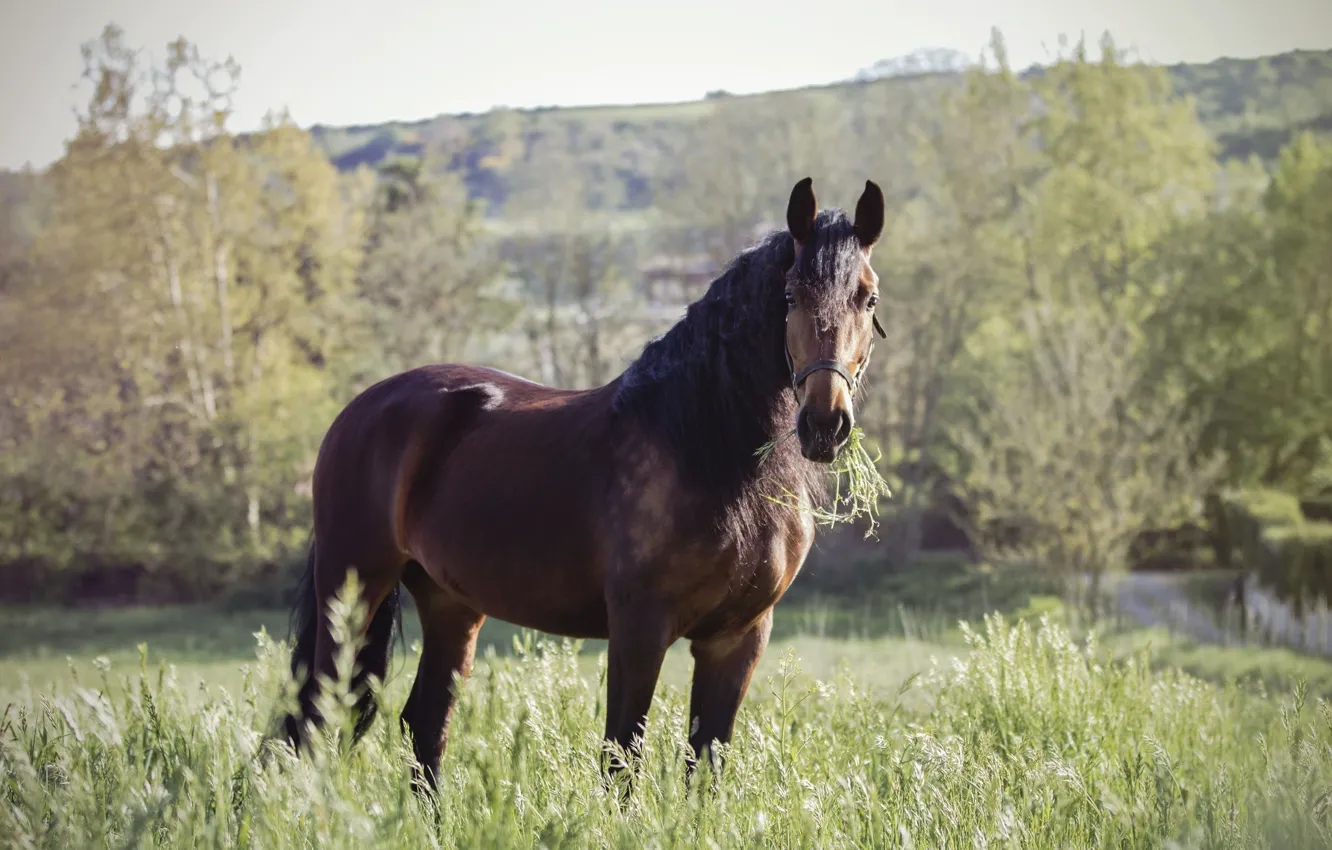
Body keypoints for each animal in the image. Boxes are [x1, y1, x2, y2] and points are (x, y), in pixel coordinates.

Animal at [279, 175, 884, 794]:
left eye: (868, 298)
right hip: (351, 591)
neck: (702, 449)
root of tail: (358, 411)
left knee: (424, 725)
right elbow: (621, 761)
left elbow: (705, 764)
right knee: (314, 717)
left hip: (449, 604)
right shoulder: (639, 629)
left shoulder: (738, 637)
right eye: (790, 297)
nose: (825, 424)